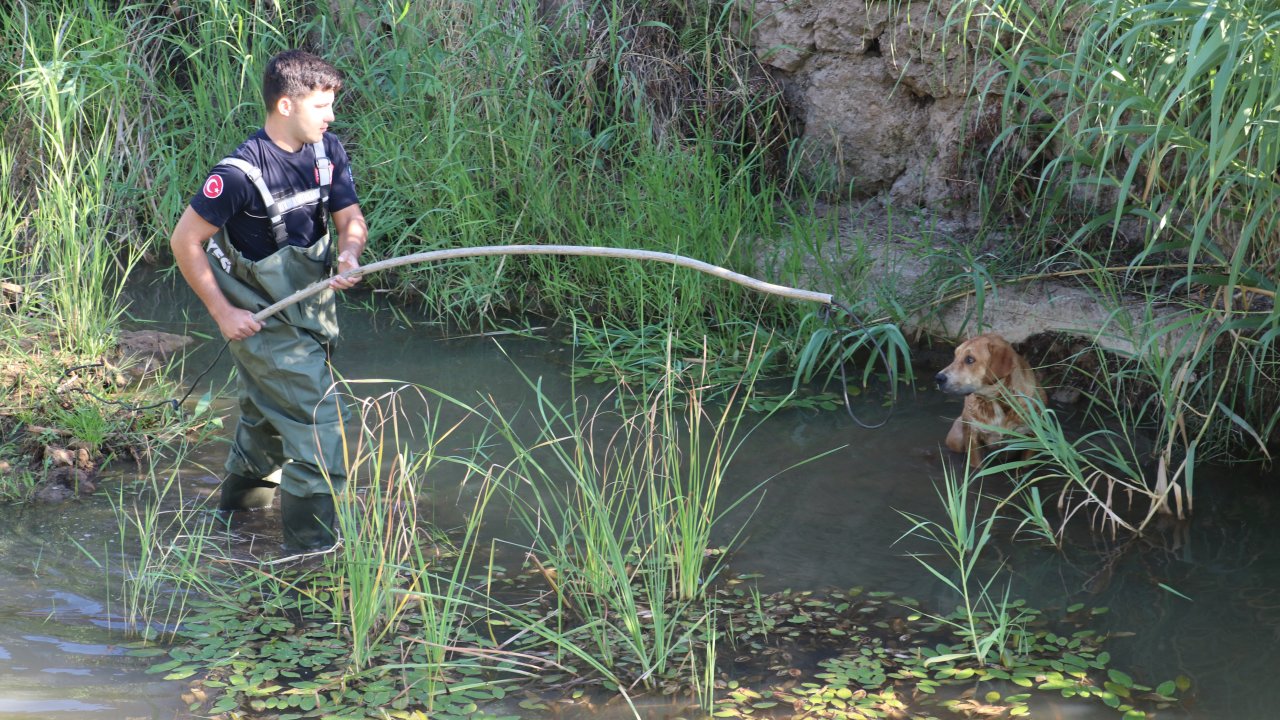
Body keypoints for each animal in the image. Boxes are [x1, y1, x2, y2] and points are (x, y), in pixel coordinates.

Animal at [936, 330, 1044, 466]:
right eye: (955, 357)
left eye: (969, 359)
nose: (938, 378)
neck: (994, 401)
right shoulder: (973, 436)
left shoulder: (1033, 436)